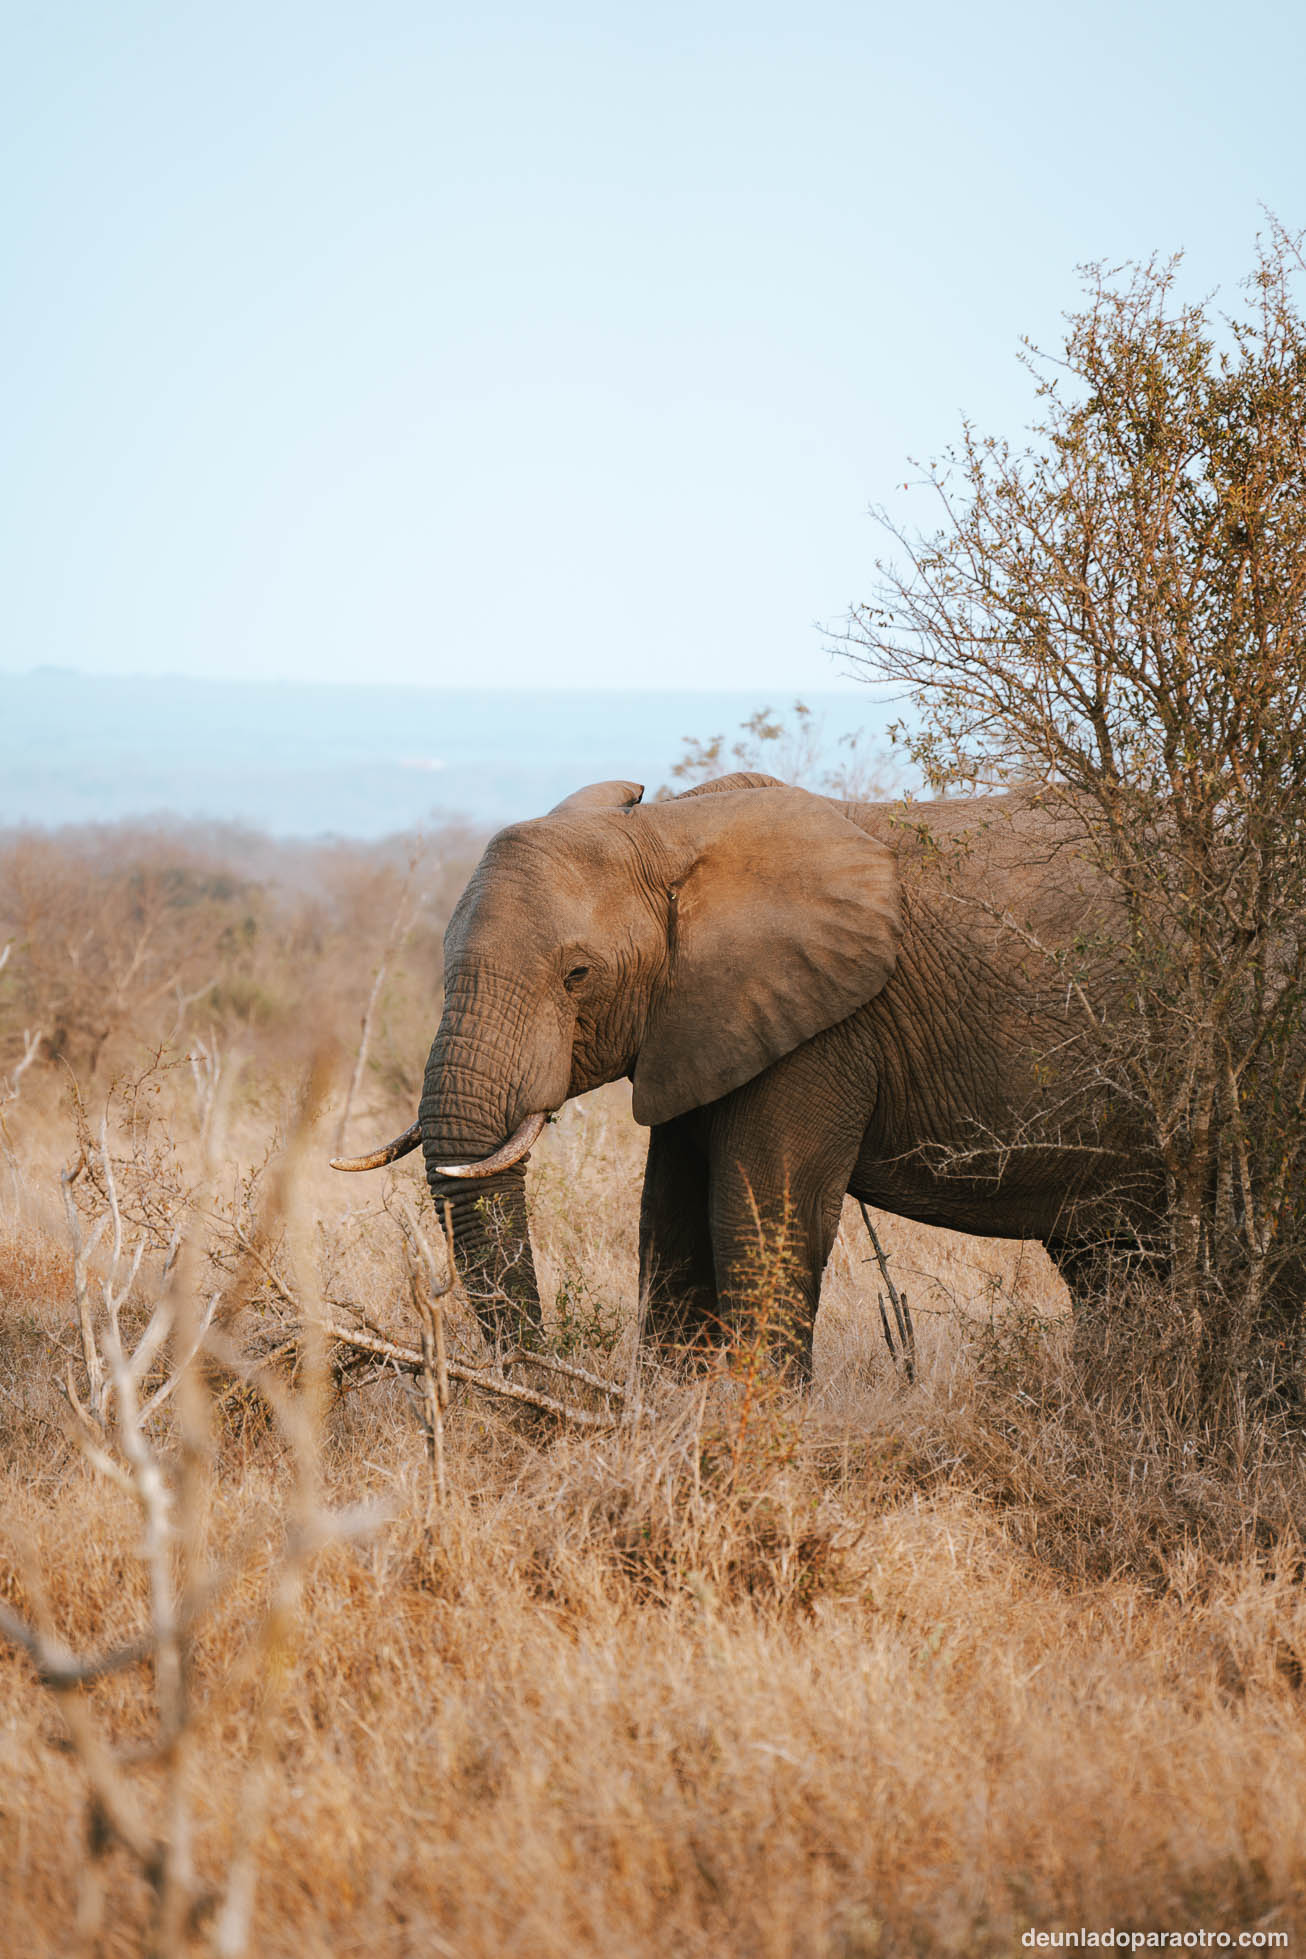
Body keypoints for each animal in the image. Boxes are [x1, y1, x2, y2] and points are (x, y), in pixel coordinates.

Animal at [328, 771, 1166, 1371]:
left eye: (577, 974)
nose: (539, 1391)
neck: (668, 833)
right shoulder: (699, 1023)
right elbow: (669, 1226)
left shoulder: (822, 1026)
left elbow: (761, 1220)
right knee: (1114, 1264)